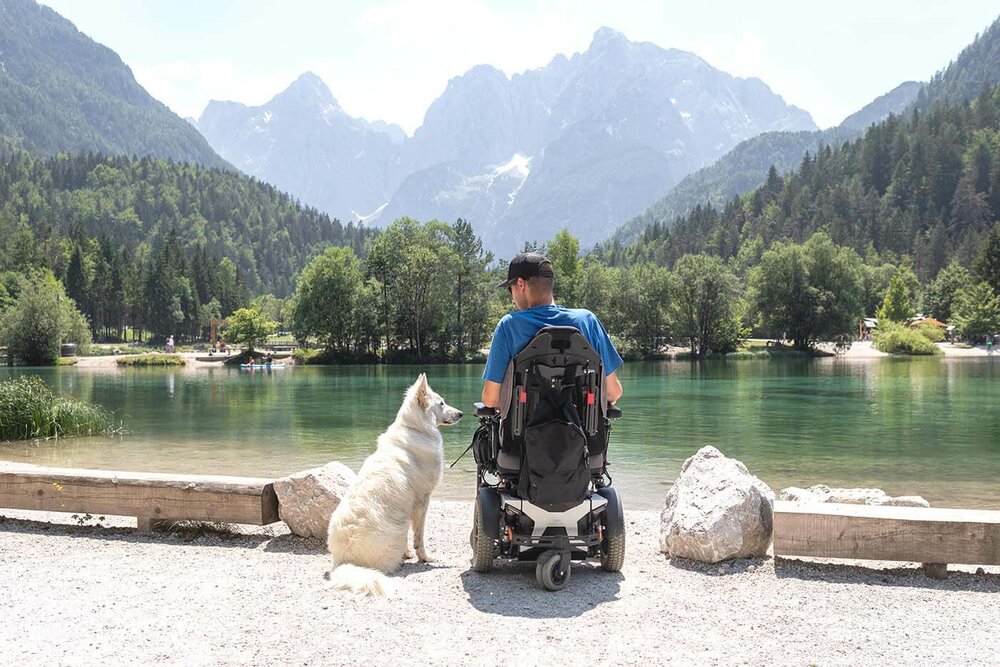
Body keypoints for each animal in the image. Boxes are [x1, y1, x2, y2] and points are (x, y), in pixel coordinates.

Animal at [326, 374, 462, 596]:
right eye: (441, 403)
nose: (461, 413)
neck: (415, 429)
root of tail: (343, 562)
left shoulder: (408, 507)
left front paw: (408, 554)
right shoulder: (422, 501)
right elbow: (419, 537)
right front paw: (424, 558)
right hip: (399, 526)